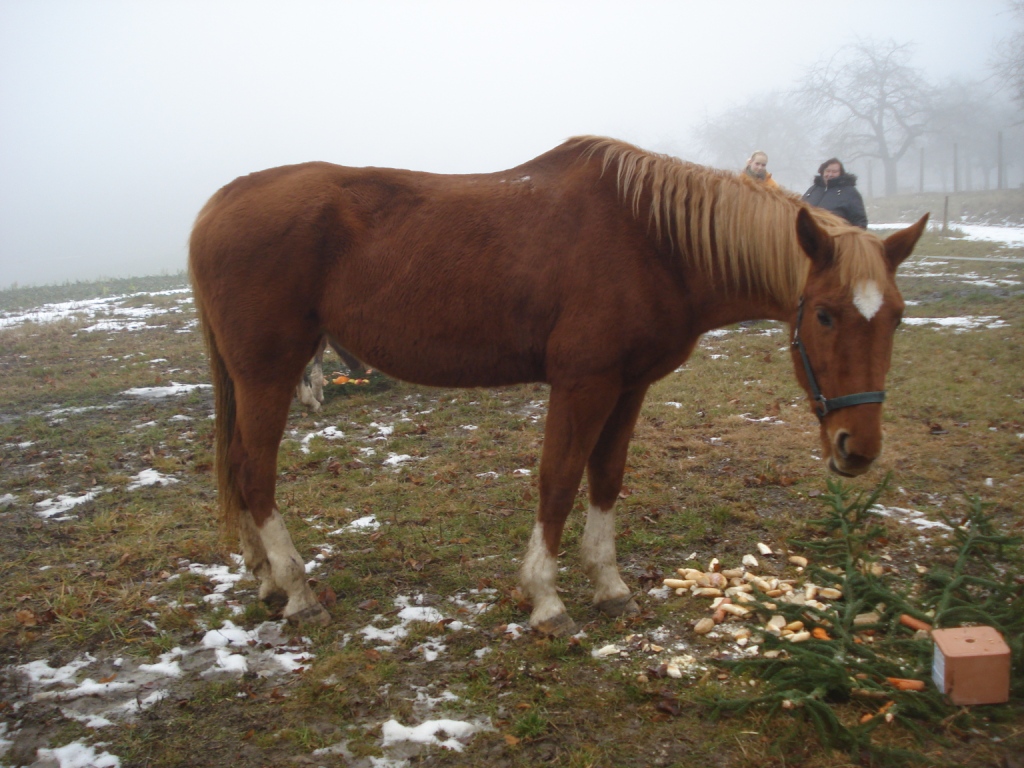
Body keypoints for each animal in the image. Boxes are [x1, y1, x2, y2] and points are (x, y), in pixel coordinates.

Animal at [186, 138, 929, 638]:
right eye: (825, 314)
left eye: (896, 315)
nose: (857, 447)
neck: (652, 240)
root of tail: (218, 203)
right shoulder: (583, 383)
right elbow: (560, 478)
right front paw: (546, 599)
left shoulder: (629, 386)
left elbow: (606, 478)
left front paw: (610, 585)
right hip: (269, 372)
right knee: (256, 472)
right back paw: (297, 589)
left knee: (240, 467)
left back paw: (264, 580)